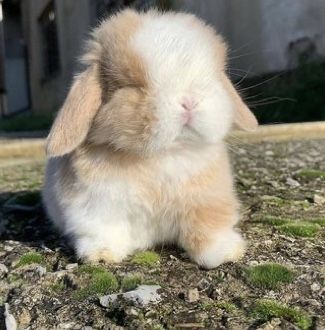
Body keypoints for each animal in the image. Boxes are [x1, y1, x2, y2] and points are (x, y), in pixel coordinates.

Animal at [42, 9, 256, 270]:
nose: (189, 101)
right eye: (132, 85)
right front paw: (101, 255)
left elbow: (207, 225)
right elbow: (103, 229)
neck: (161, 155)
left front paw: (225, 252)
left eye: (213, 77)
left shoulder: (208, 199)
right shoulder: (95, 206)